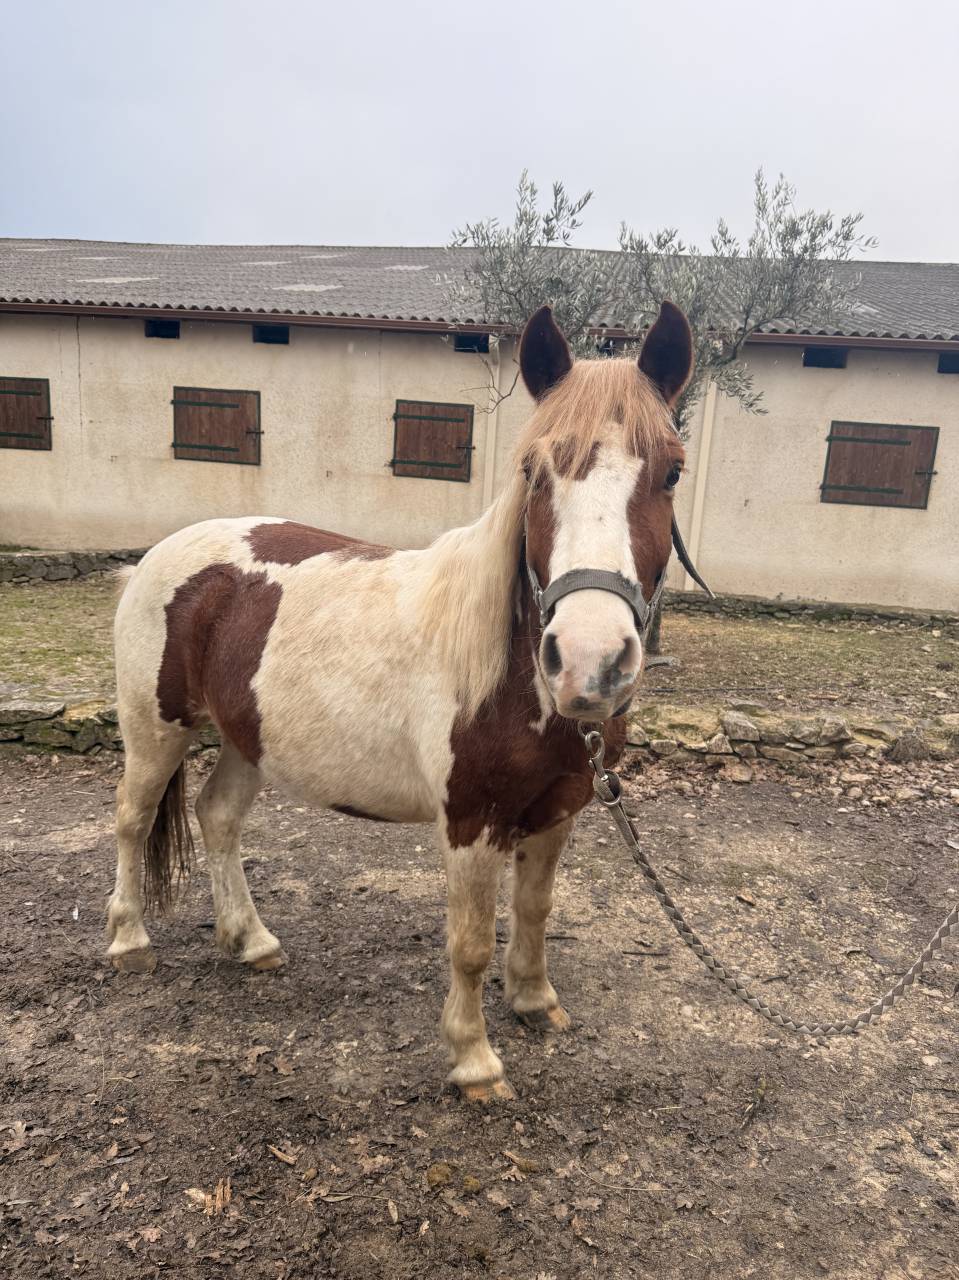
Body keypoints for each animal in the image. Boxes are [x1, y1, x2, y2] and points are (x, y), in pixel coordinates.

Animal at [106, 301, 693, 1101]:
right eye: (533, 473)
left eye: (671, 471)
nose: (589, 661)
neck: (509, 675)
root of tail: (161, 555)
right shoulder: (473, 822)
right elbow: (470, 942)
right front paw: (474, 1060)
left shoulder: (557, 811)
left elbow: (535, 909)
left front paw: (535, 1001)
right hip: (155, 729)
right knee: (132, 821)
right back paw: (129, 941)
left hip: (245, 738)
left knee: (217, 817)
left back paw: (252, 941)